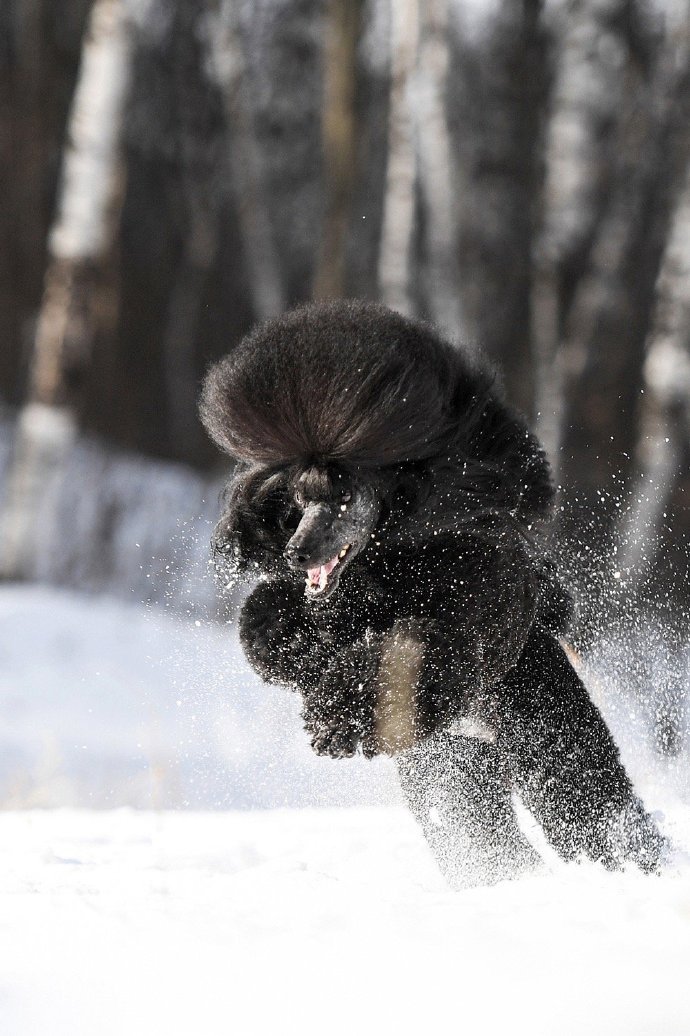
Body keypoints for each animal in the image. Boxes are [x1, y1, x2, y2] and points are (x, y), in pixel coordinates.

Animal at [202, 300, 663, 890]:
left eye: (343, 496)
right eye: (299, 501)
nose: (297, 553)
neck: (384, 565)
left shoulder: (471, 602)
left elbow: (421, 650)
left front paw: (336, 717)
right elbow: (266, 621)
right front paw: (297, 651)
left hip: (547, 740)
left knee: (594, 814)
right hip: (454, 769)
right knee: (481, 831)